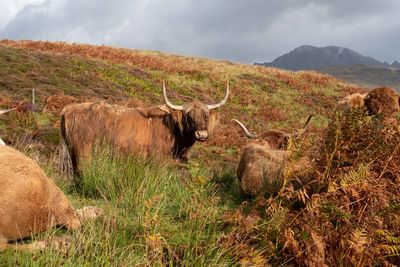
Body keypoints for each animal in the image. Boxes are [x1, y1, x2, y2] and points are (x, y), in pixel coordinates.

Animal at [59, 81, 228, 178]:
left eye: (206, 116)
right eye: (189, 117)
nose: (202, 134)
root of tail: (68, 108)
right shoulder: (158, 161)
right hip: (84, 150)